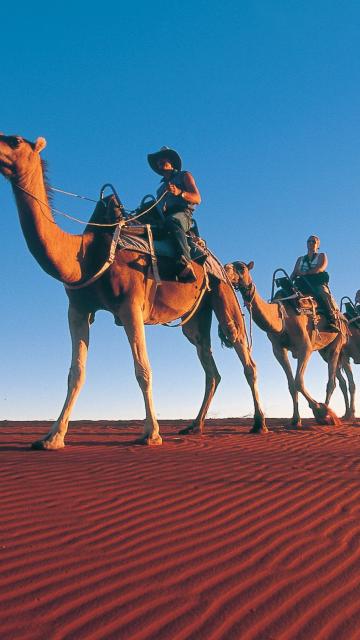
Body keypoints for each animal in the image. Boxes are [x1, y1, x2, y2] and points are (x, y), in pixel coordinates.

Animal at [0, 132, 268, 448]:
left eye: (15, 141)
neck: (84, 255)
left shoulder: (130, 306)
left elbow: (143, 369)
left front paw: (151, 433)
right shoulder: (77, 308)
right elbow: (75, 373)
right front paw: (52, 437)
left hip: (222, 294)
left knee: (245, 355)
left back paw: (259, 423)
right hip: (195, 317)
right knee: (209, 366)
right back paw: (194, 426)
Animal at [224, 258, 348, 428]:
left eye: (242, 268)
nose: (225, 269)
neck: (282, 317)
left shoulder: (305, 347)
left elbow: (298, 381)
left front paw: (321, 412)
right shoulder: (278, 350)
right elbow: (291, 384)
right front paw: (296, 420)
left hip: (337, 342)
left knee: (331, 382)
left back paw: (329, 415)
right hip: (323, 350)